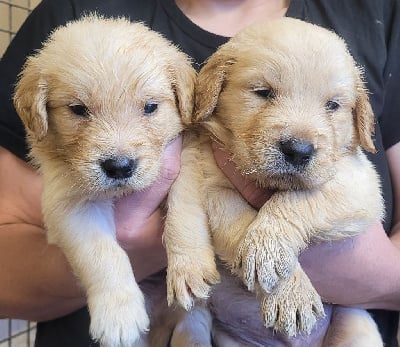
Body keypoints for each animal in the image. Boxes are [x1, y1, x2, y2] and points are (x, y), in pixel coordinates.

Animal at [14, 14, 196, 347]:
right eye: (77, 109)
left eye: (150, 107)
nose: (120, 167)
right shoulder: (70, 207)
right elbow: (101, 254)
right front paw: (118, 312)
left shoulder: (185, 161)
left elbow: (186, 212)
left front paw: (188, 267)